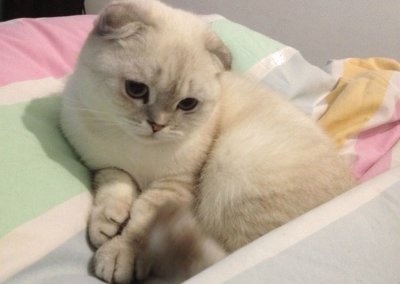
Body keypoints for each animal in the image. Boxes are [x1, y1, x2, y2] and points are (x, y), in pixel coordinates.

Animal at [60, 0, 354, 284]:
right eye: (136, 89)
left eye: (187, 104)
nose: (157, 125)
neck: (135, 148)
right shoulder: (106, 165)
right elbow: (114, 189)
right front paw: (107, 223)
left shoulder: (175, 184)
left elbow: (141, 220)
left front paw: (119, 252)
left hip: (232, 162)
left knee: (218, 258)